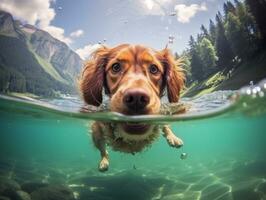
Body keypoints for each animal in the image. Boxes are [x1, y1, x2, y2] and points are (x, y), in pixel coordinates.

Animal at [79, 44, 185, 172]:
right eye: (116, 67)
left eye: (154, 69)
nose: (136, 98)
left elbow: (165, 125)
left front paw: (173, 138)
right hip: (96, 132)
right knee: (103, 149)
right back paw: (104, 162)